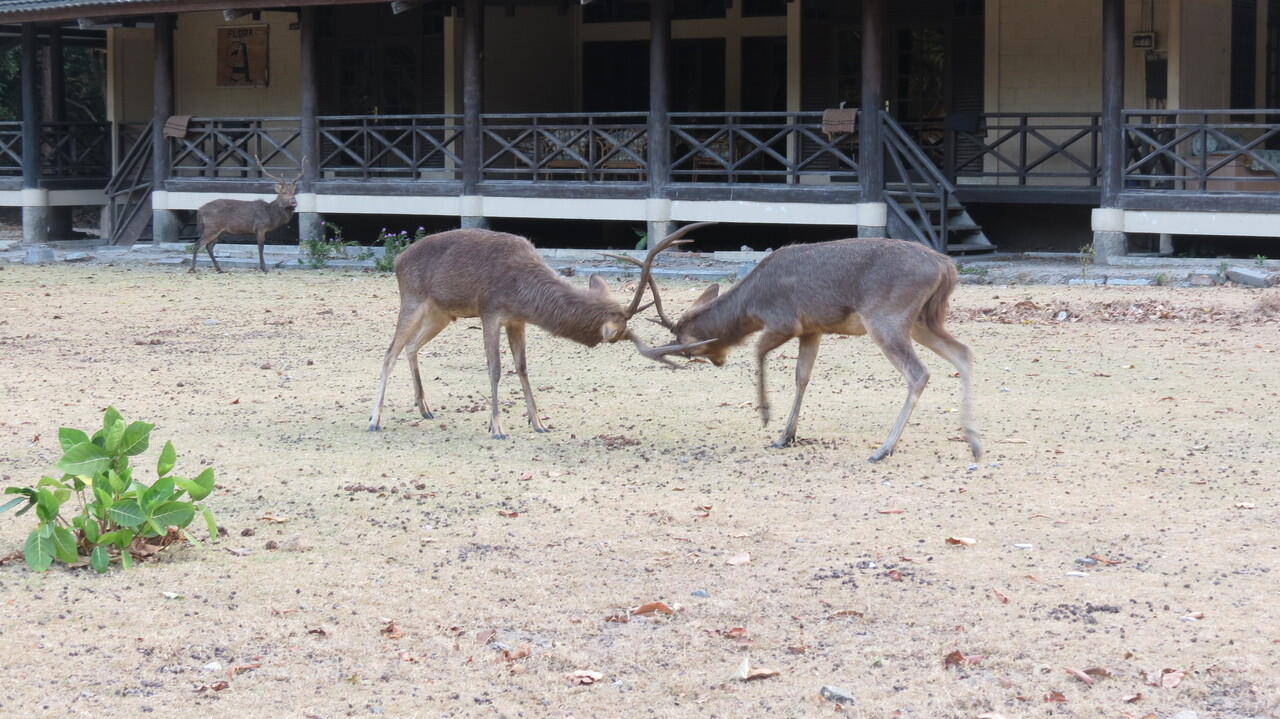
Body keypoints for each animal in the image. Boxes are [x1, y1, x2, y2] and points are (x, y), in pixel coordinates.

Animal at [368, 223, 711, 437]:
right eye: (617, 335)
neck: (521, 289)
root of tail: (398, 260)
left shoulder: (516, 320)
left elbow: (521, 368)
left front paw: (539, 422)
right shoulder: (490, 311)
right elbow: (494, 368)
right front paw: (497, 428)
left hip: (441, 313)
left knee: (411, 346)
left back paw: (424, 408)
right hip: (412, 299)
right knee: (389, 352)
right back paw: (374, 420)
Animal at [645, 235, 983, 458]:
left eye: (687, 349)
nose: (719, 361)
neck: (750, 307)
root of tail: (946, 266)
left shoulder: (783, 322)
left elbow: (758, 353)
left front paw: (766, 417)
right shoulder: (812, 330)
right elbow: (802, 376)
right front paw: (786, 435)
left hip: (887, 318)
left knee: (919, 373)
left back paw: (884, 448)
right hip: (923, 320)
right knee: (963, 352)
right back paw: (974, 442)